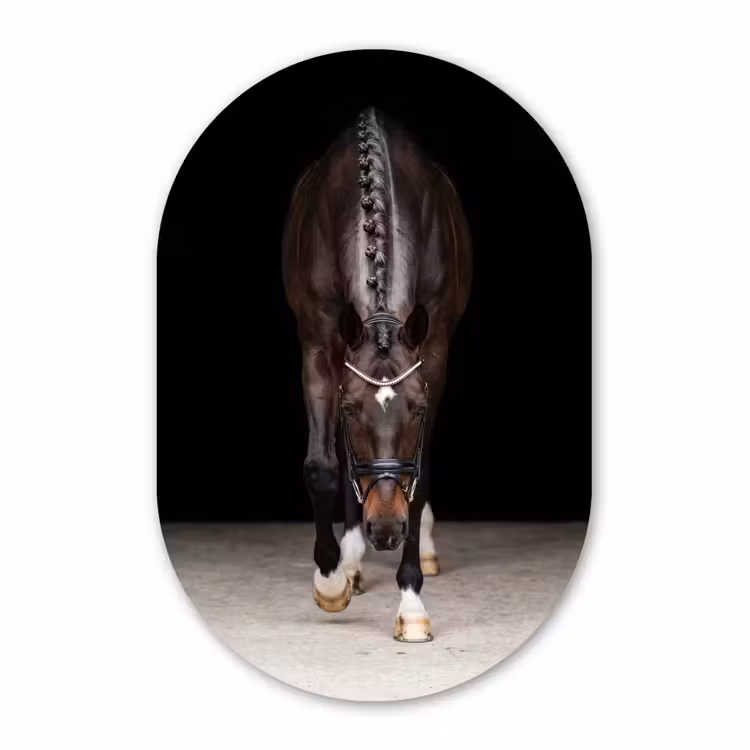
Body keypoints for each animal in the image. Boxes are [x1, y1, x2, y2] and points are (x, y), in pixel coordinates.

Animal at [282, 107, 472, 642]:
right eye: (350, 409)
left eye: (418, 409)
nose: (385, 530)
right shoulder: (318, 345)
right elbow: (323, 465)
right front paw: (330, 580)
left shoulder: (434, 354)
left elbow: (419, 476)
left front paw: (411, 603)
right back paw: (350, 561)